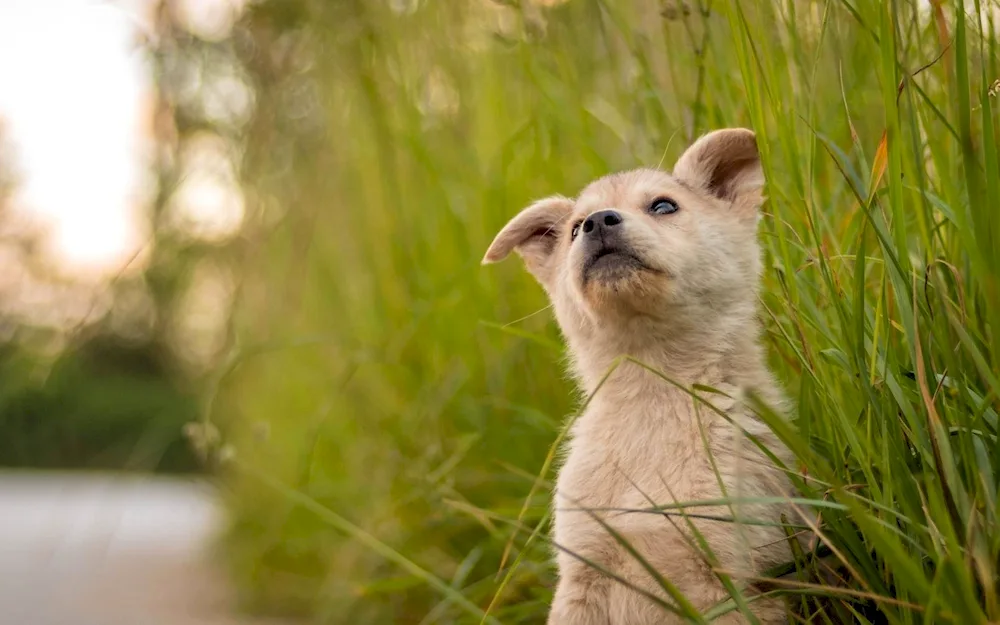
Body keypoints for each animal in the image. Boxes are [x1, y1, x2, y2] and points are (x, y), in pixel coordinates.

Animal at [480, 129, 800, 620]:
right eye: (575, 228)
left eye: (664, 206)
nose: (597, 222)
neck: (653, 390)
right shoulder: (582, 576)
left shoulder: (734, 576)